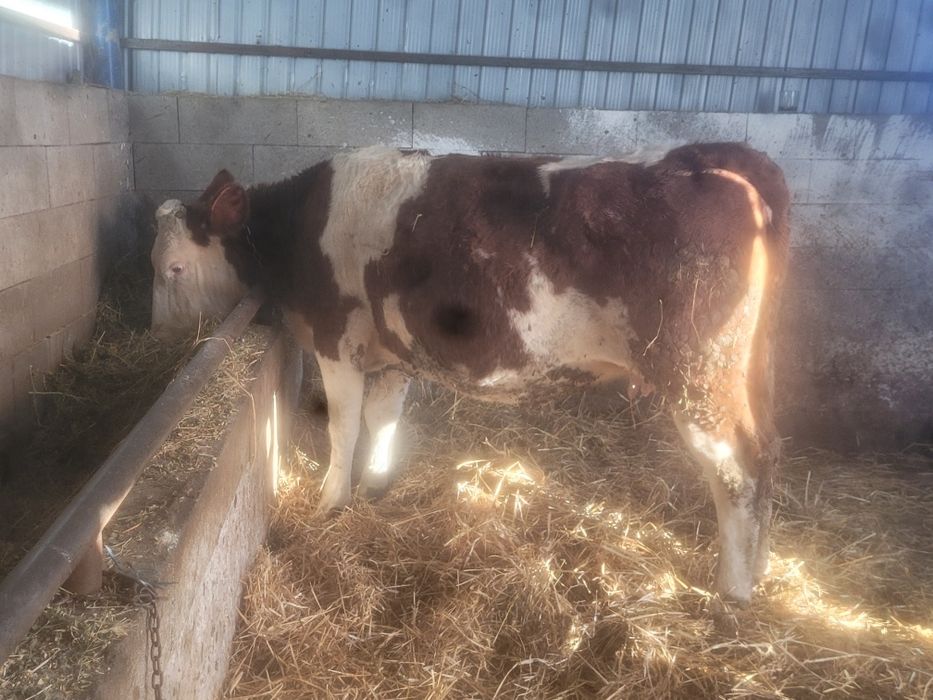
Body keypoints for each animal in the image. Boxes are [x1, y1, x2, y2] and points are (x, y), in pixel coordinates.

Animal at [151, 143, 789, 603]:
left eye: (174, 268)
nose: (158, 337)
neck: (303, 224)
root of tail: (707, 164)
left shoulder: (338, 341)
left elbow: (344, 425)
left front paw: (330, 501)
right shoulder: (392, 352)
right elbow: (382, 418)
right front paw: (376, 486)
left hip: (701, 377)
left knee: (737, 470)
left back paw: (733, 593)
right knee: (767, 454)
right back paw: (759, 568)